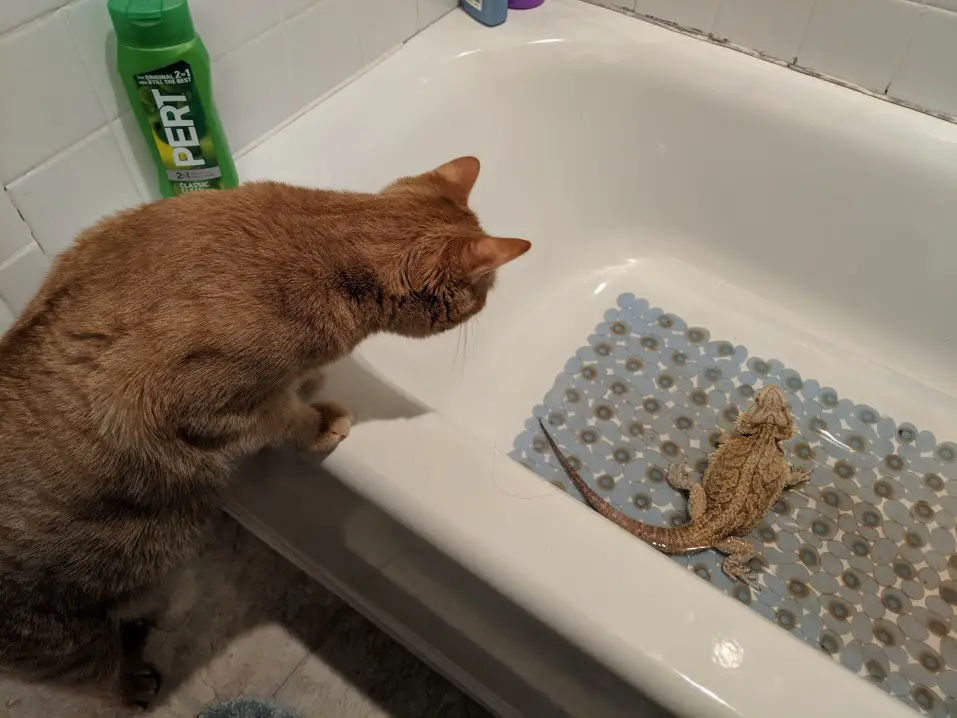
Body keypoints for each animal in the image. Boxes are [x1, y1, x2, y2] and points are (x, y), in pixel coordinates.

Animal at [0, 155, 528, 704]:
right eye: (485, 294)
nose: (489, 304)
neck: (314, 239)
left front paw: (307, 381)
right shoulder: (198, 405)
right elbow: (281, 418)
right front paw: (317, 418)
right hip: (68, 643)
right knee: (101, 676)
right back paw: (136, 680)